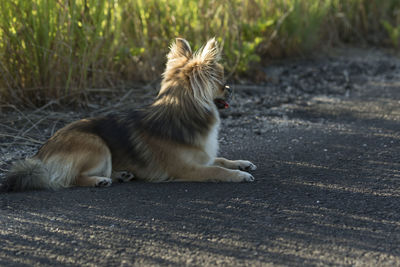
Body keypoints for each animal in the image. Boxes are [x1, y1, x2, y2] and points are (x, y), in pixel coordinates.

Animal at [0, 38, 256, 193]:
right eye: (221, 83)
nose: (230, 89)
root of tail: (40, 157)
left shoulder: (202, 156)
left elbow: (221, 159)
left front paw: (241, 164)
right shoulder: (187, 169)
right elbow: (217, 170)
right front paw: (237, 175)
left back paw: (121, 174)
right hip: (97, 145)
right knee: (69, 179)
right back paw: (99, 180)